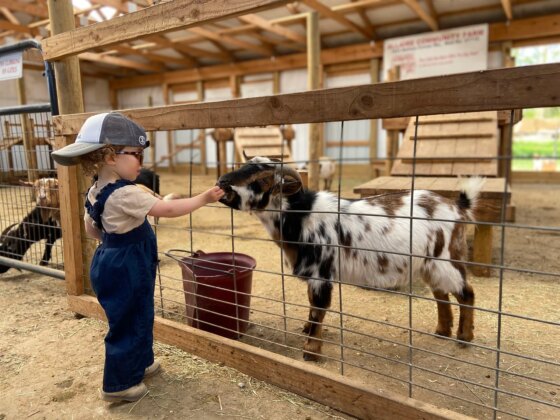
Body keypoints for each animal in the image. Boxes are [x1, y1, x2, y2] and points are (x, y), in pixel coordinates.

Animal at [217, 158, 484, 360]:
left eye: (263, 179)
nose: (222, 183)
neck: (301, 216)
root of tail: (458, 206)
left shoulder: (321, 272)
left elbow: (319, 308)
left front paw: (311, 350)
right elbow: (311, 305)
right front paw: (306, 330)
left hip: (446, 258)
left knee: (466, 292)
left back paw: (464, 338)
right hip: (429, 263)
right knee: (441, 294)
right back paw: (442, 331)